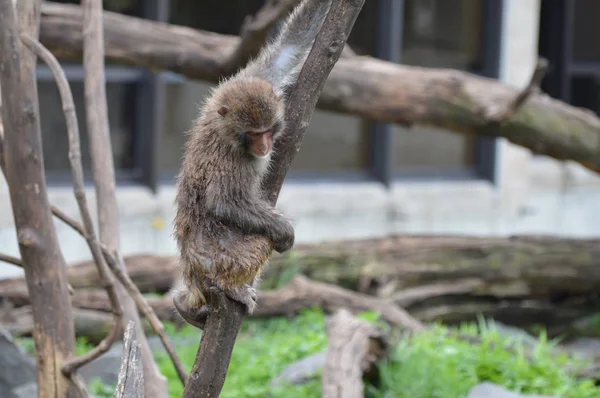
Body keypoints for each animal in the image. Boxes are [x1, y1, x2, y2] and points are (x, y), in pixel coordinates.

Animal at [171, 0, 332, 330]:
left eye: (268, 130)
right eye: (255, 134)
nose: (264, 146)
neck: (225, 126)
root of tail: (190, 268)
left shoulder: (244, 82)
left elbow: (286, 51)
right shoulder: (231, 158)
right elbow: (224, 202)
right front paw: (283, 229)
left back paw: (188, 306)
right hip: (216, 258)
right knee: (259, 242)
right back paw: (228, 287)